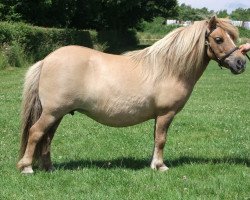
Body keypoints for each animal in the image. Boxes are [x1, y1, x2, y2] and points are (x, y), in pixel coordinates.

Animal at [17, 16, 246, 173]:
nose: (241, 63)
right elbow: (161, 139)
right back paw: (27, 167)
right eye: (218, 39)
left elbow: (155, 139)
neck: (170, 68)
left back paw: (49, 168)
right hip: (52, 113)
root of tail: (47, 60)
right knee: (36, 133)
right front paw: (161, 166)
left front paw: (153, 164)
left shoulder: (159, 116)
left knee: (47, 138)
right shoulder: (166, 113)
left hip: (57, 114)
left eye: (232, 37)